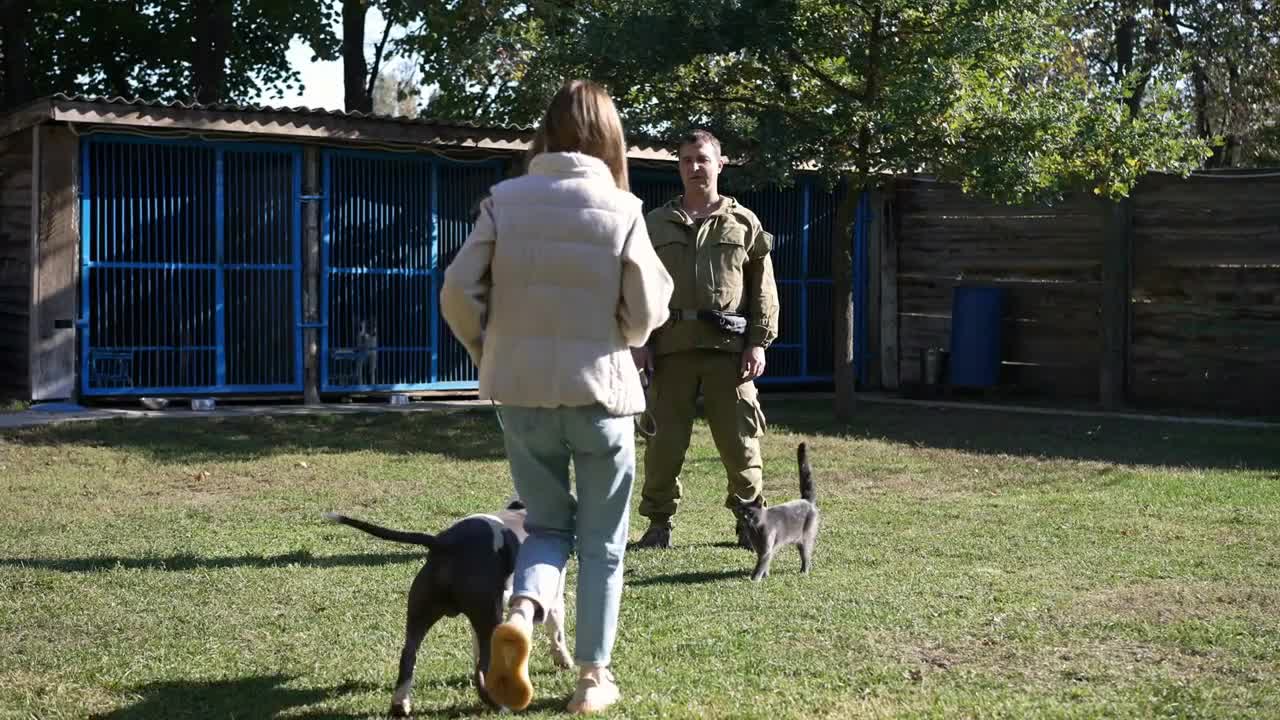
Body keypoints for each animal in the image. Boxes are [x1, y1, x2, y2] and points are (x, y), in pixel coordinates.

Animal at [325, 502, 570, 712]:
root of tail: (444, 543)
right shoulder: (552, 600)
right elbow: (557, 634)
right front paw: (564, 661)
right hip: (487, 618)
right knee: (482, 669)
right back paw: (500, 706)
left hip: (423, 615)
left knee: (408, 656)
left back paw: (400, 704)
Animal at [732, 440, 819, 579]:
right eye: (740, 512)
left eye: (750, 512)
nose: (744, 518)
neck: (755, 531)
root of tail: (807, 500)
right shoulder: (761, 549)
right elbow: (765, 563)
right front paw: (766, 576)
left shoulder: (766, 549)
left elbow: (760, 565)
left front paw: (754, 580)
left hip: (806, 537)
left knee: (806, 556)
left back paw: (803, 572)